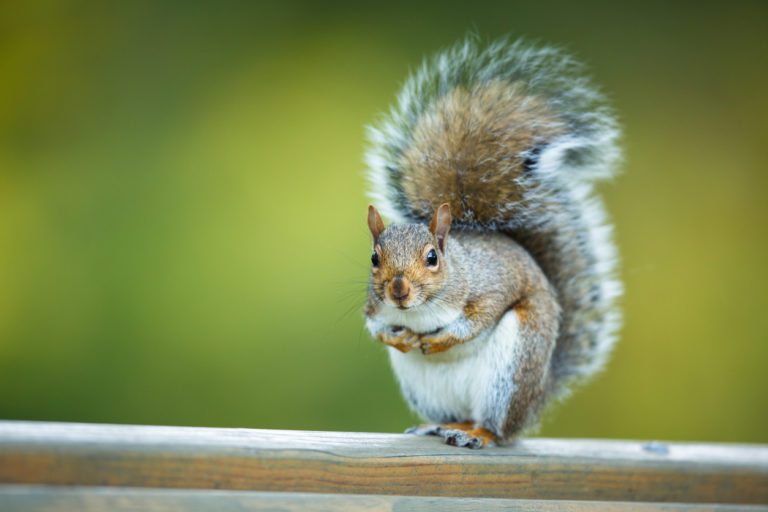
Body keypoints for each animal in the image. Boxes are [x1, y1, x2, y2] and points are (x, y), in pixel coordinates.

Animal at [363, 38, 622, 449]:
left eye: (432, 257)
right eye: (375, 258)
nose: (398, 291)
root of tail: (538, 397)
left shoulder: (490, 287)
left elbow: (478, 319)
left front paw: (440, 340)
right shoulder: (374, 307)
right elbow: (374, 326)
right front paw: (398, 339)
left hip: (512, 370)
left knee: (498, 428)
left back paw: (478, 434)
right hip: (428, 391)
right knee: (458, 415)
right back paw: (441, 426)